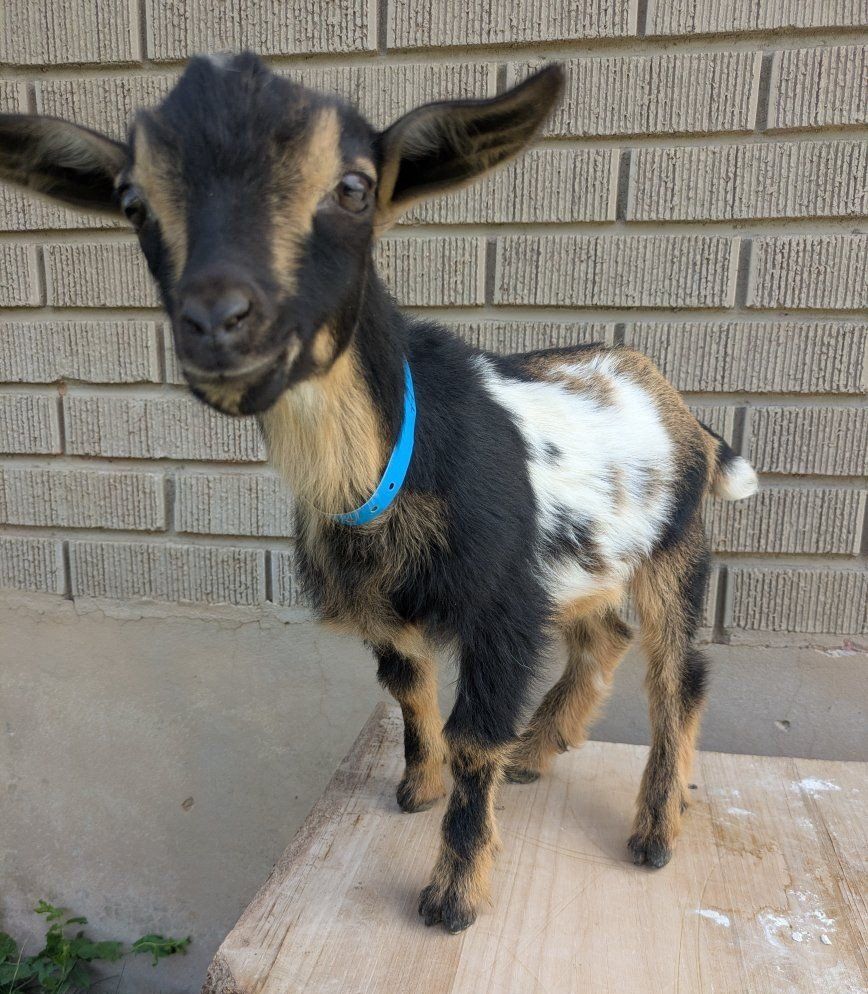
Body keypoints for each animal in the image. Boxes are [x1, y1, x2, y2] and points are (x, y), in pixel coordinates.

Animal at [0, 53, 758, 933]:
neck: (398, 463)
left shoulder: (500, 609)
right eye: (133, 202)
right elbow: (408, 690)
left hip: (677, 549)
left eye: (354, 187)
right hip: (587, 562)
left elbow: (473, 736)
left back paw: (653, 831)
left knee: (677, 675)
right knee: (603, 635)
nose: (217, 323)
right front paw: (417, 787)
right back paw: (538, 751)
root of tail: (678, 403)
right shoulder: (388, 606)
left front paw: (452, 897)